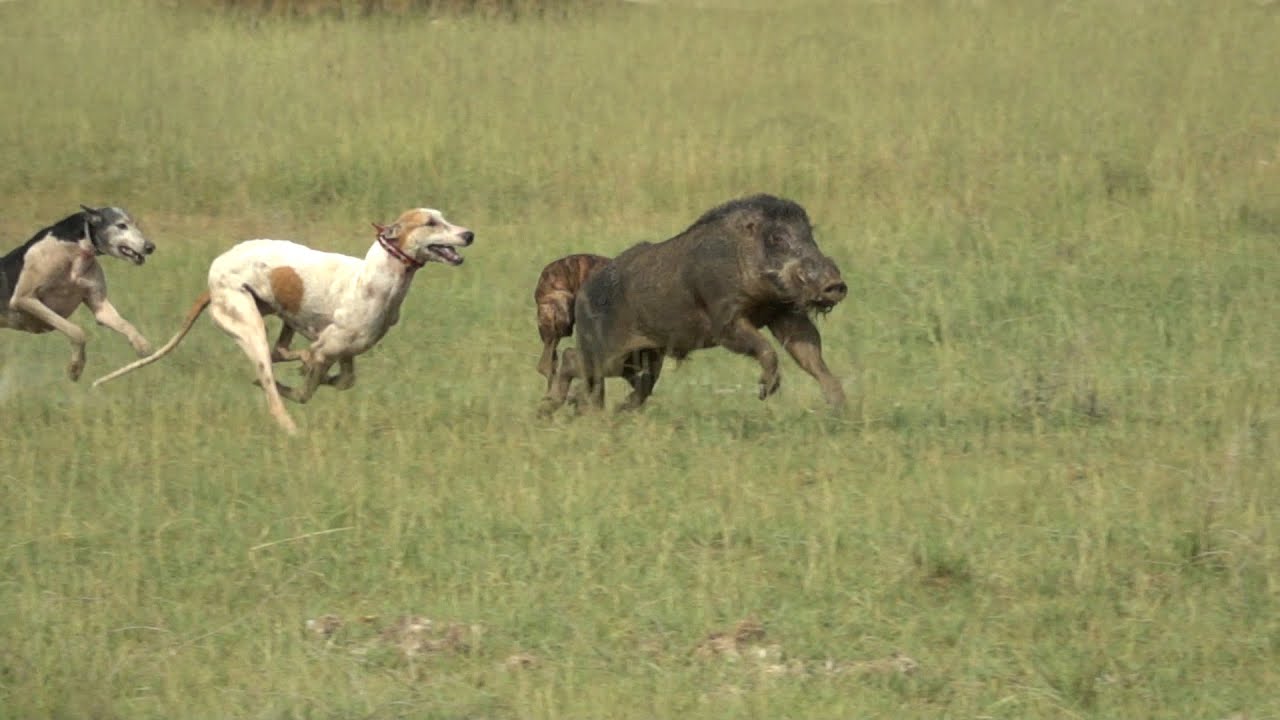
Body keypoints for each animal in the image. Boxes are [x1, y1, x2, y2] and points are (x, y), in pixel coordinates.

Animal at [538, 194, 848, 416]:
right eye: (777, 238)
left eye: (810, 234)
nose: (835, 284)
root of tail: (582, 293)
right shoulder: (726, 323)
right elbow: (766, 349)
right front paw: (765, 391)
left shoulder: (786, 314)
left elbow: (809, 352)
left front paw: (839, 404)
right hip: (606, 354)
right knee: (570, 358)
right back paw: (549, 407)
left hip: (644, 358)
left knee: (638, 385)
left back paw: (611, 409)